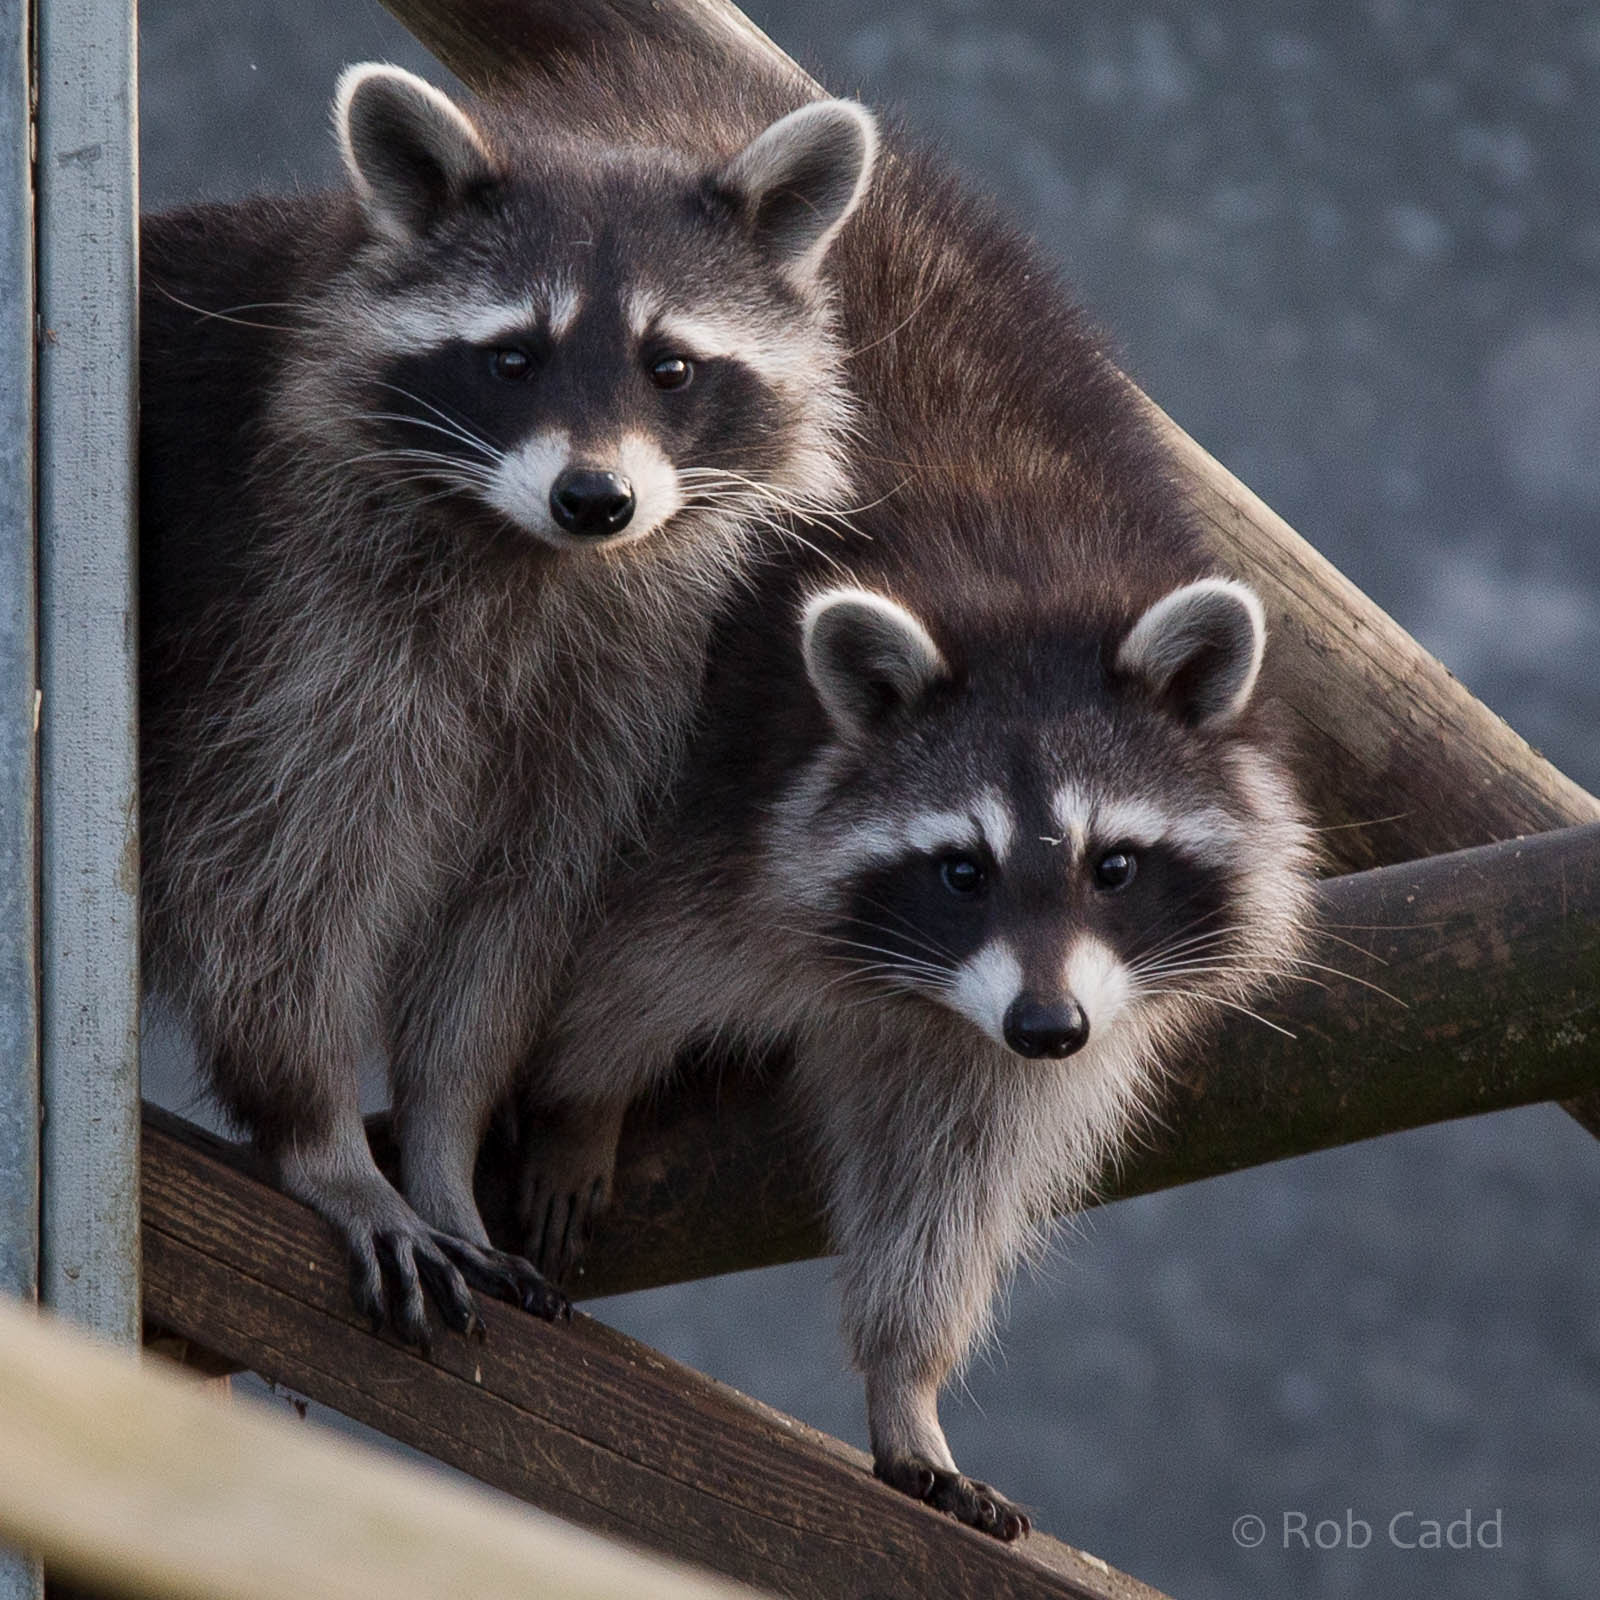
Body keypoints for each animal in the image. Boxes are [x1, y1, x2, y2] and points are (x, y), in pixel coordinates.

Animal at [138, 62, 876, 1342]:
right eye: (513, 358)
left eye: (670, 366)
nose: (595, 499)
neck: (527, 551)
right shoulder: (286, 634)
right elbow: (272, 890)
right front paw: (324, 1144)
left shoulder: (609, 690)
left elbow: (509, 914)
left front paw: (444, 1147)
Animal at [492, 28, 1315, 1538]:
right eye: (961, 867)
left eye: (1116, 864)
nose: (1048, 1028)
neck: (1027, 595)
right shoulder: (730, 793)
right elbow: (620, 970)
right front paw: (582, 1098)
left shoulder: (1026, 1013)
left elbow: (952, 1177)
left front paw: (907, 1375)